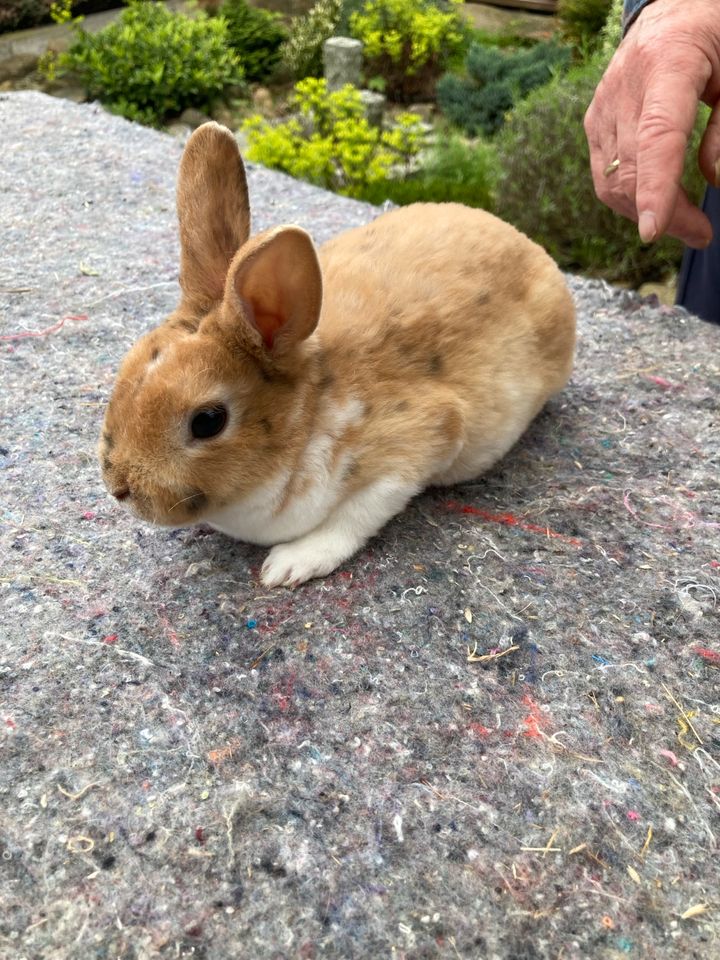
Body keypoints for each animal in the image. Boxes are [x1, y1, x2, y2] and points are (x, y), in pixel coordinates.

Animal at [98, 120, 576, 584]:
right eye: (126, 368)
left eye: (208, 421)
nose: (119, 487)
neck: (309, 416)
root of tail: (533, 248)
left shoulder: (420, 443)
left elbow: (355, 516)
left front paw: (289, 565)